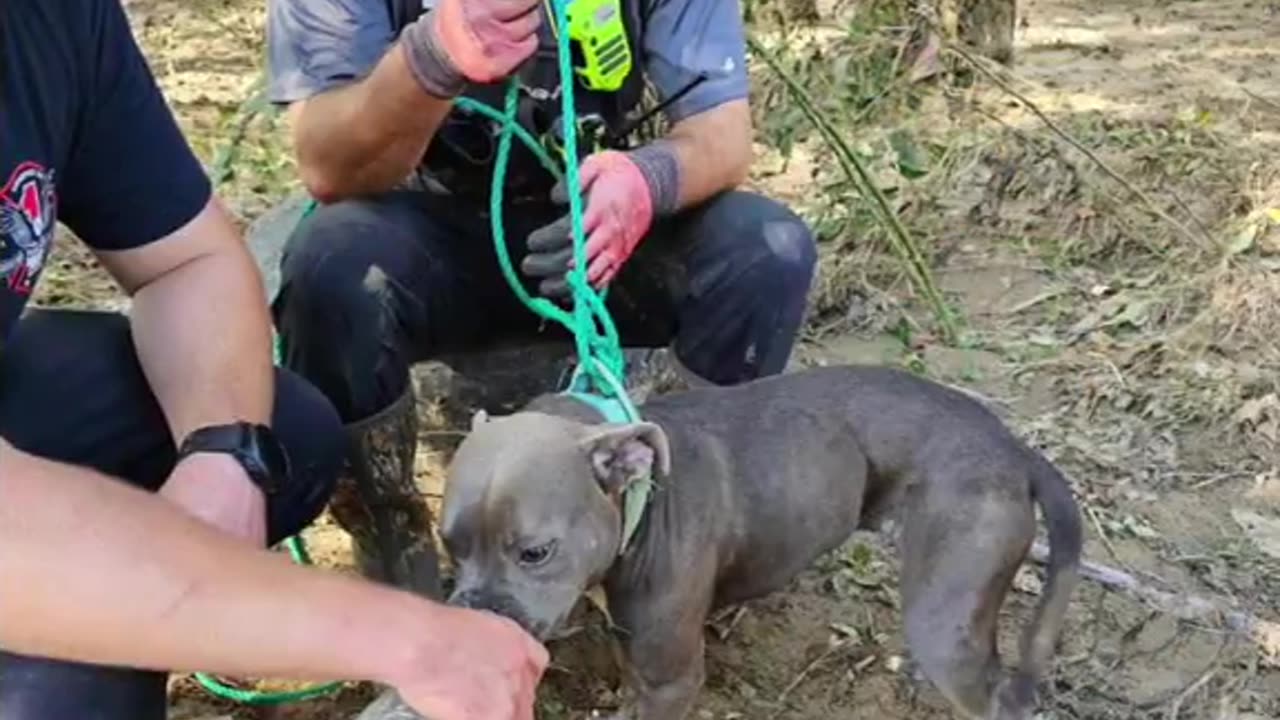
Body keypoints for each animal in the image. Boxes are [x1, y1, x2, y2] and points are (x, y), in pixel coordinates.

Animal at [437, 363, 1080, 717]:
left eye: (535, 553)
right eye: (449, 546)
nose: (474, 615)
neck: (640, 504)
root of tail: (1011, 446)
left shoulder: (673, 683)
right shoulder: (637, 651)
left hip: (943, 617)